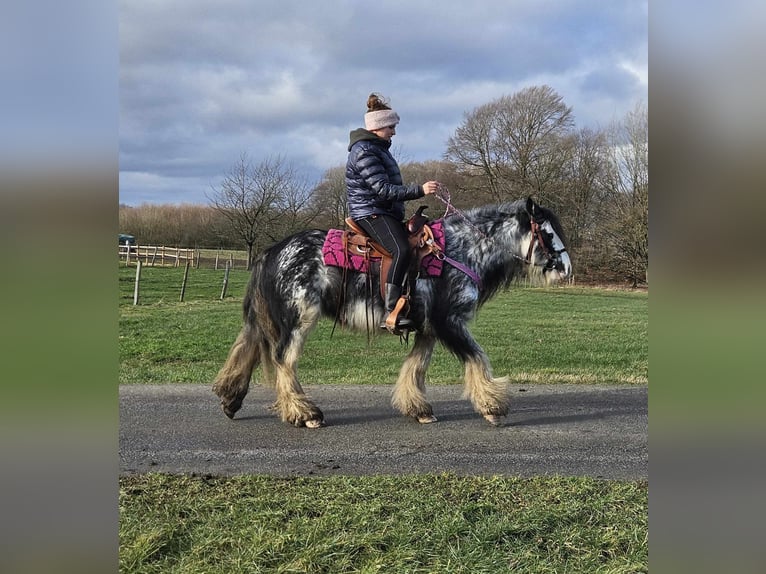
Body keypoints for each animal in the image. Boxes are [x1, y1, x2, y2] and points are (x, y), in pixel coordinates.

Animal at [213, 198, 572, 428]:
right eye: (547, 233)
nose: (567, 268)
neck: (460, 252)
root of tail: (272, 251)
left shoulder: (427, 328)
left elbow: (416, 365)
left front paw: (418, 409)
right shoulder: (450, 322)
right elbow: (477, 358)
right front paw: (492, 407)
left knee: (250, 350)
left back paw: (232, 400)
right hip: (300, 319)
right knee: (284, 360)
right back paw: (305, 414)